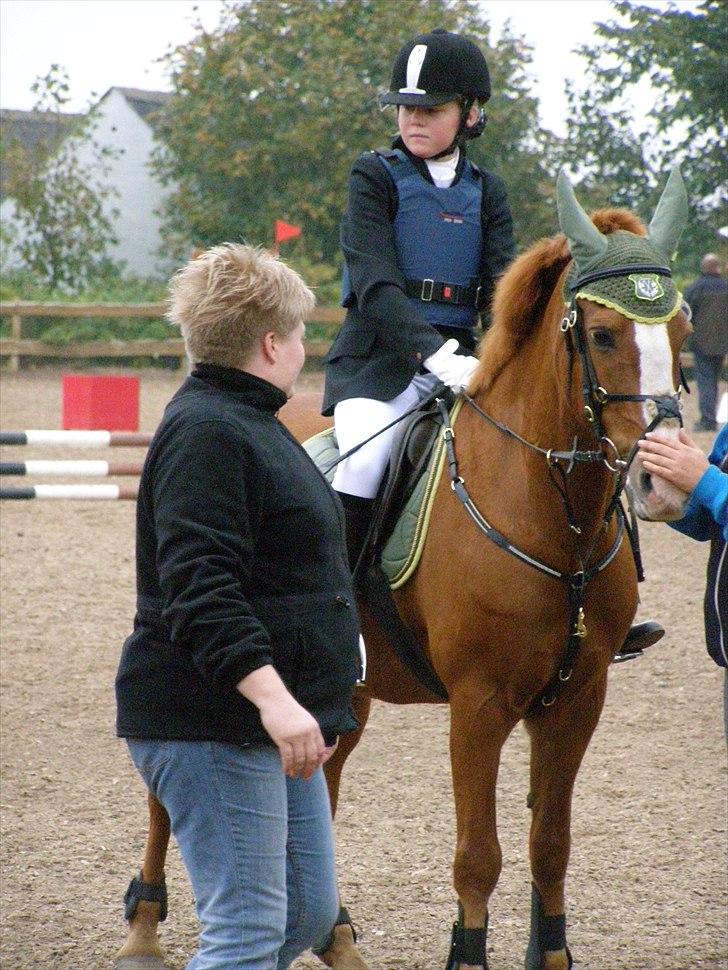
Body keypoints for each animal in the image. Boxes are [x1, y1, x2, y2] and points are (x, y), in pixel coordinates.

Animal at [114, 170, 688, 964]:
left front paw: (550, 951)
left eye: (683, 330)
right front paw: (467, 953)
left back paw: (335, 936)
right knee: (163, 796)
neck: (554, 520)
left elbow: (550, 846)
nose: (659, 482)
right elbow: (479, 855)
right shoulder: (480, 704)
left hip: (344, 691)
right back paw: (144, 926)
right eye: (602, 335)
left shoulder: (578, 700)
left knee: (321, 782)